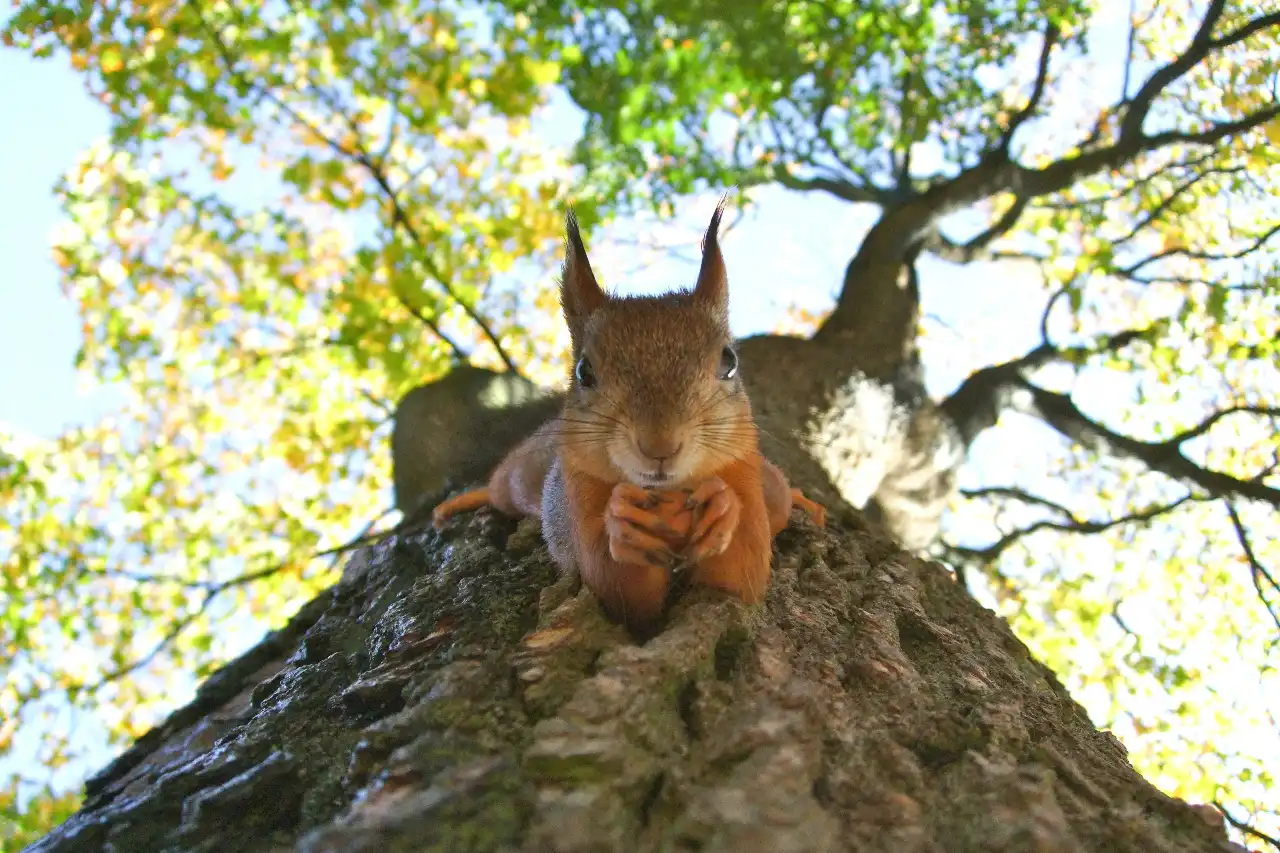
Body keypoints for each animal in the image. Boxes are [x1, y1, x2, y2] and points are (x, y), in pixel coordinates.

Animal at [430, 197, 824, 625]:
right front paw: (622, 522)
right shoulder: (579, 495)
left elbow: (741, 577)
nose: (659, 447)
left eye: (729, 361)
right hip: (519, 479)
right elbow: (619, 591)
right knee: (499, 488)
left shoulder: (744, 472)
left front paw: (722, 507)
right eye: (583, 371)